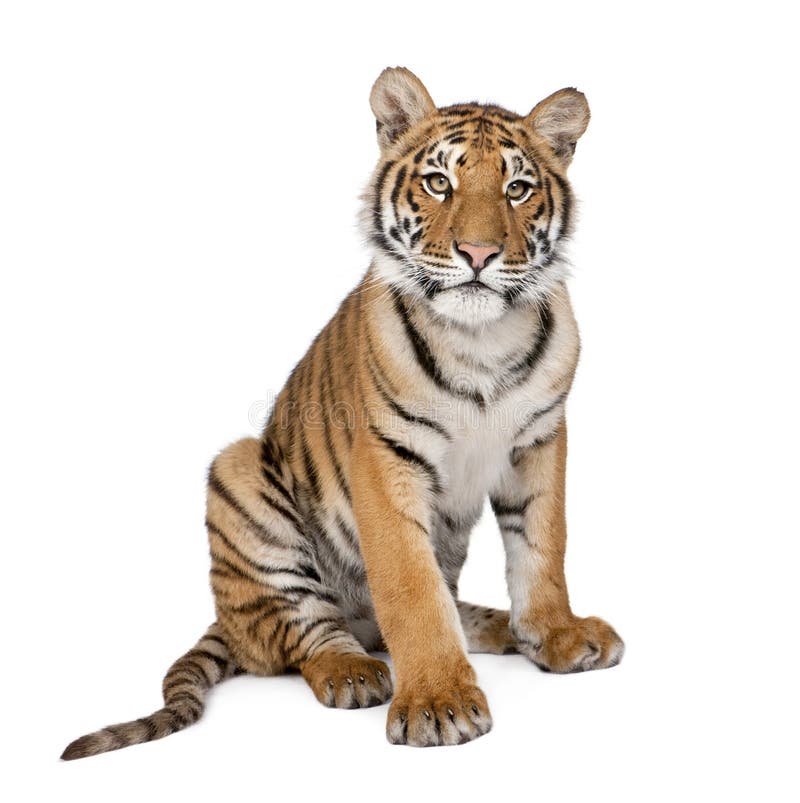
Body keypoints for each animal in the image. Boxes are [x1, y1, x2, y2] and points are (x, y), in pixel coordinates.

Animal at [62, 64, 624, 760]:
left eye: (517, 189)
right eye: (439, 182)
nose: (478, 253)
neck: (481, 339)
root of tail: (224, 620)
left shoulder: (539, 442)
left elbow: (543, 550)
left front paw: (556, 634)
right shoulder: (386, 458)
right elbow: (410, 589)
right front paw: (439, 702)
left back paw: (496, 627)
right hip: (239, 476)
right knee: (301, 635)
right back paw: (353, 670)